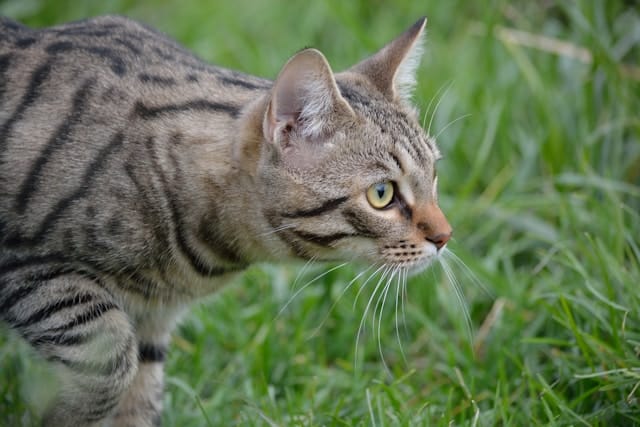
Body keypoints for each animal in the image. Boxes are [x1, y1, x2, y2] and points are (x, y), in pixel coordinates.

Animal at [0, 13, 452, 427]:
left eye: (434, 173)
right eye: (382, 194)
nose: (445, 237)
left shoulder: (151, 320)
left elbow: (137, 399)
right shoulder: (28, 269)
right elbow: (108, 361)